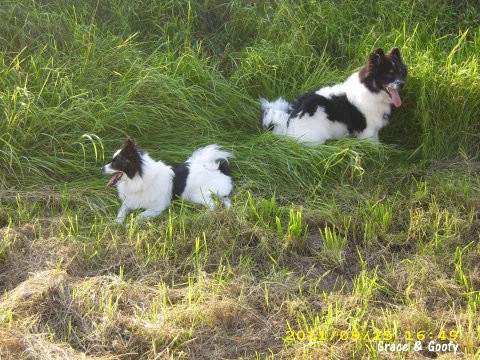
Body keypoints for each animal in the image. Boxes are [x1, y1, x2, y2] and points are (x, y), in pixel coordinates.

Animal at [102, 137, 233, 224]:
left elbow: (140, 215)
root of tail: (219, 169)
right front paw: (115, 224)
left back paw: (203, 216)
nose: (101, 168)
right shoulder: (128, 203)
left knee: (214, 205)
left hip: (197, 195)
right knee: (226, 201)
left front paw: (130, 225)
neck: (137, 179)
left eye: (115, 163)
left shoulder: (157, 208)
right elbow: (121, 214)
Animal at [260, 47, 406, 144]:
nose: (402, 84)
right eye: (389, 74)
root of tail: (289, 120)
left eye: (401, 72)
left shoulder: (374, 130)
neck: (370, 89)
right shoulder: (367, 130)